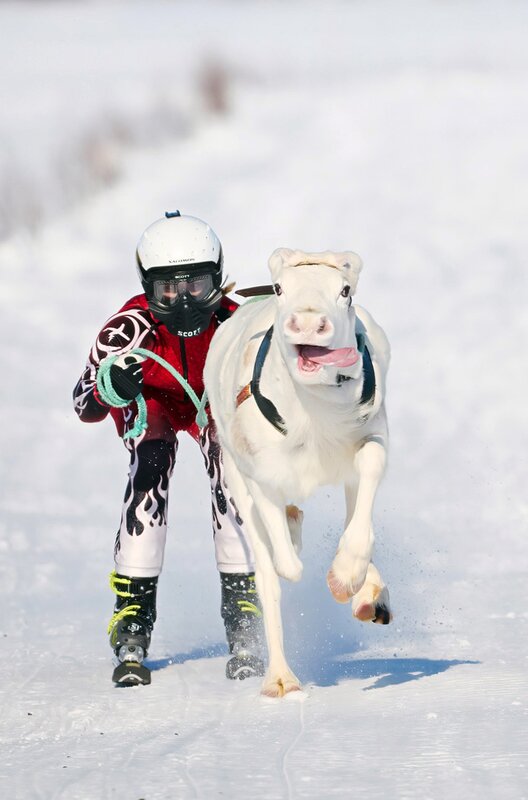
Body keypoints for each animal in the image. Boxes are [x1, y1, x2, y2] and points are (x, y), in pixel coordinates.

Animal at [204, 248, 391, 697]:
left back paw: (367, 595)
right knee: (269, 576)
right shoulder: (261, 476)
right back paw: (280, 679)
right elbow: (285, 566)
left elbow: (362, 505)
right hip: (236, 477)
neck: (312, 411)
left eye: (345, 291)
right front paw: (288, 536)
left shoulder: (371, 435)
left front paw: (347, 577)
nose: (307, 322)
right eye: (279, 288)